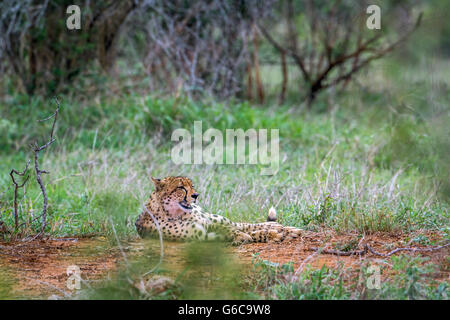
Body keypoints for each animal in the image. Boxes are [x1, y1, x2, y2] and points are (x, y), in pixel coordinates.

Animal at [134, 176, 302, 244]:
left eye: (192, 186)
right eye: (181, 187)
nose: (195, 195)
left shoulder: (210, 224)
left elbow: (235, 229)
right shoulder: (202, 234)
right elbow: (232, 232)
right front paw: (245, 237)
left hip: (215, 218)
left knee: (242, 225)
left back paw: (283, 228)